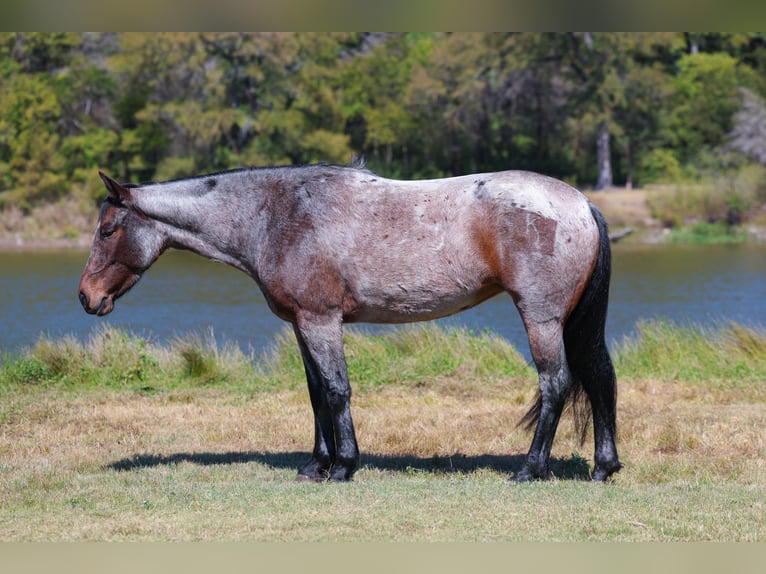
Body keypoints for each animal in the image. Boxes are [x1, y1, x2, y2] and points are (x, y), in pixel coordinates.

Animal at [78, 162, 622, 483]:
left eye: (108, 230)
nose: (87, 297)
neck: (277, 214)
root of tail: (581, 203)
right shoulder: (301, 323)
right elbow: (317, 393)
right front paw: (315, 465)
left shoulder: (321, 321)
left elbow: (338, 391)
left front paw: (343, 466)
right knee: (597, 381)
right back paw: (603, 467)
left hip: (542, 318)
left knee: (556, 384)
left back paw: (530, 469)